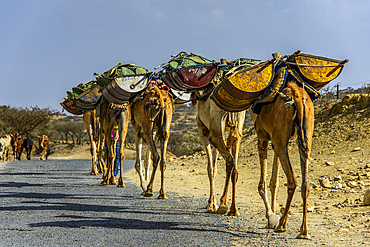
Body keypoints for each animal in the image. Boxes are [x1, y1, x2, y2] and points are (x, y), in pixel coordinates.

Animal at [249, 80, 316, 238]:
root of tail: (298, 98)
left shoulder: (263, 136)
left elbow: (262, 184)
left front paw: (270, 215)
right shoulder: (276, 138)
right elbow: (274, 181)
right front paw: (272, 214)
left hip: (280, 136)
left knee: (293, 182)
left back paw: (281, 225)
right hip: (305, 134)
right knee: (305, 184)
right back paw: (303, 231)